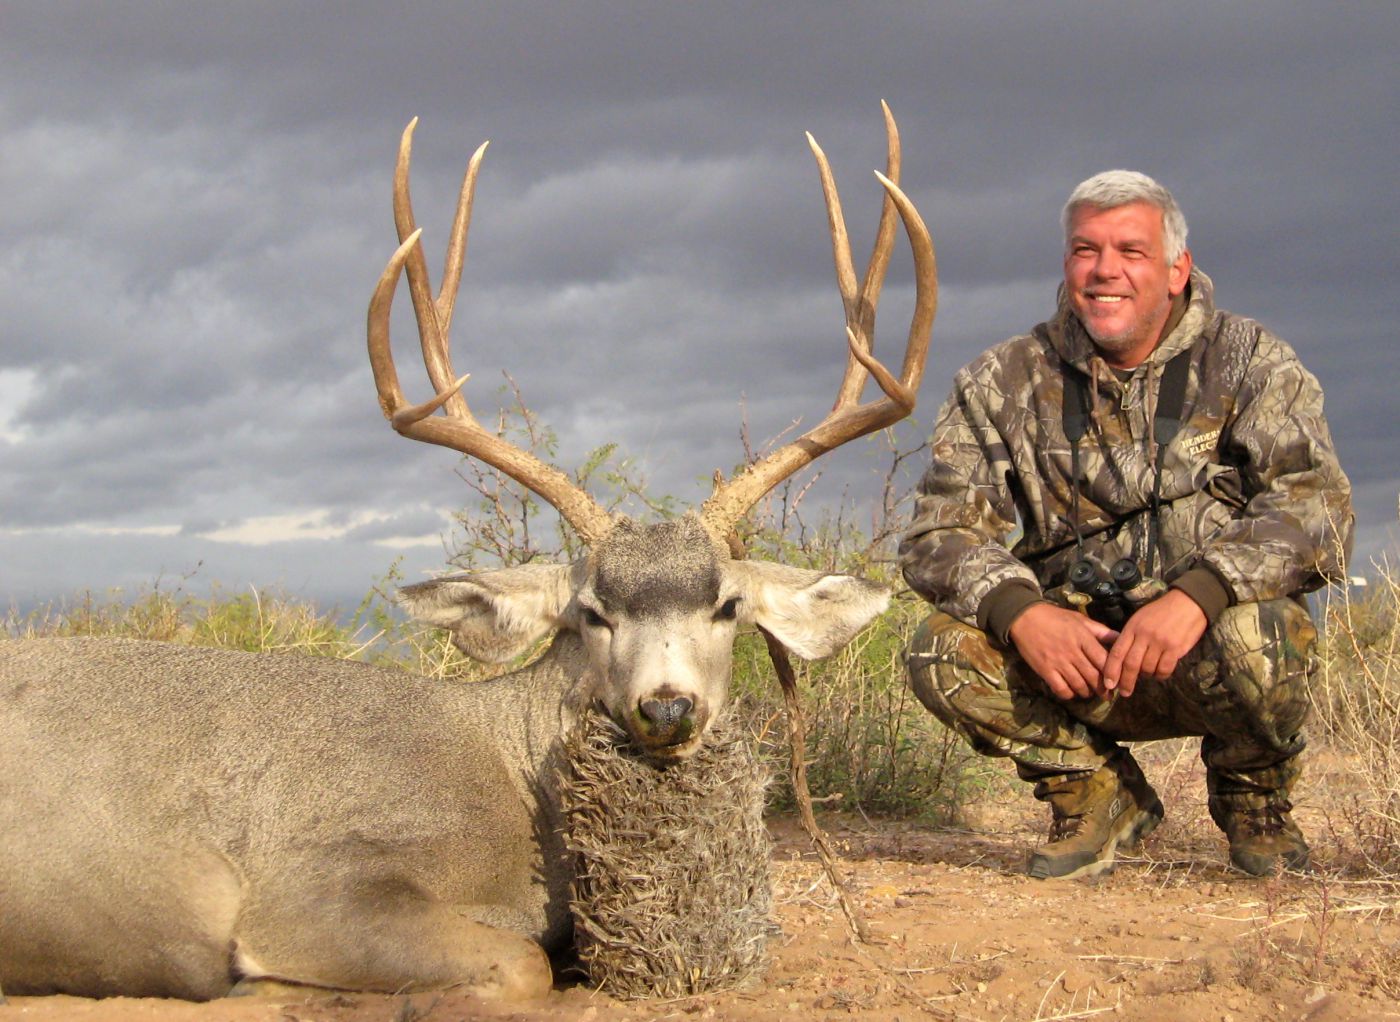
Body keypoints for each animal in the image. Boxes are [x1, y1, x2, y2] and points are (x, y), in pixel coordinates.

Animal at [0, 104, 936, 1002]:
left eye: (728, 606)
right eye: (590, 612)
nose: (667, 708)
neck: (511, 784)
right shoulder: (314, 882)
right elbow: (520, 965)